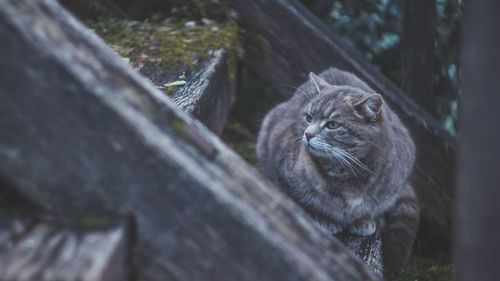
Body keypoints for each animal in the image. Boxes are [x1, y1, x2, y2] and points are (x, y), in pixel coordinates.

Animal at [258, 66, 418, 270]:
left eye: (332, 125)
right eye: (308, 117)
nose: (307, 134)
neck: (347, 177)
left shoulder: (393, 184)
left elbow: (372, 207)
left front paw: (364, 220)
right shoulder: (278, 158)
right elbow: (306, 201)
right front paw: (326, 218)